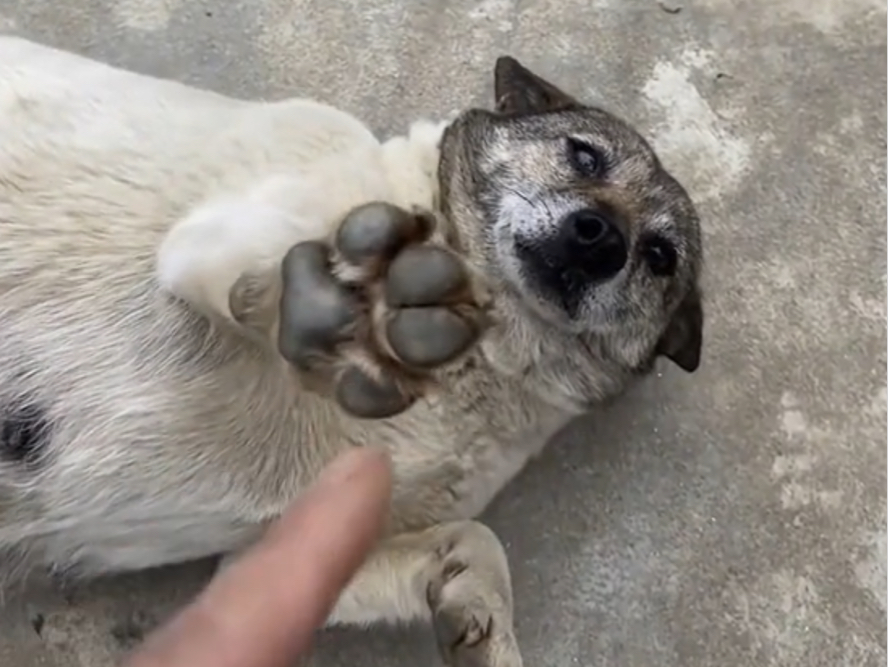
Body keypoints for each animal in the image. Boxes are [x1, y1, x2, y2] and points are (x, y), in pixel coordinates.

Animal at [0, 36, 704, 667]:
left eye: (660, 256)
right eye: (583, 156)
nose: (600, 238)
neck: (480, 353)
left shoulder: (286, 554)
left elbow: (477, 544)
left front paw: (481, 627)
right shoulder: (213, 241)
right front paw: (367, 298)